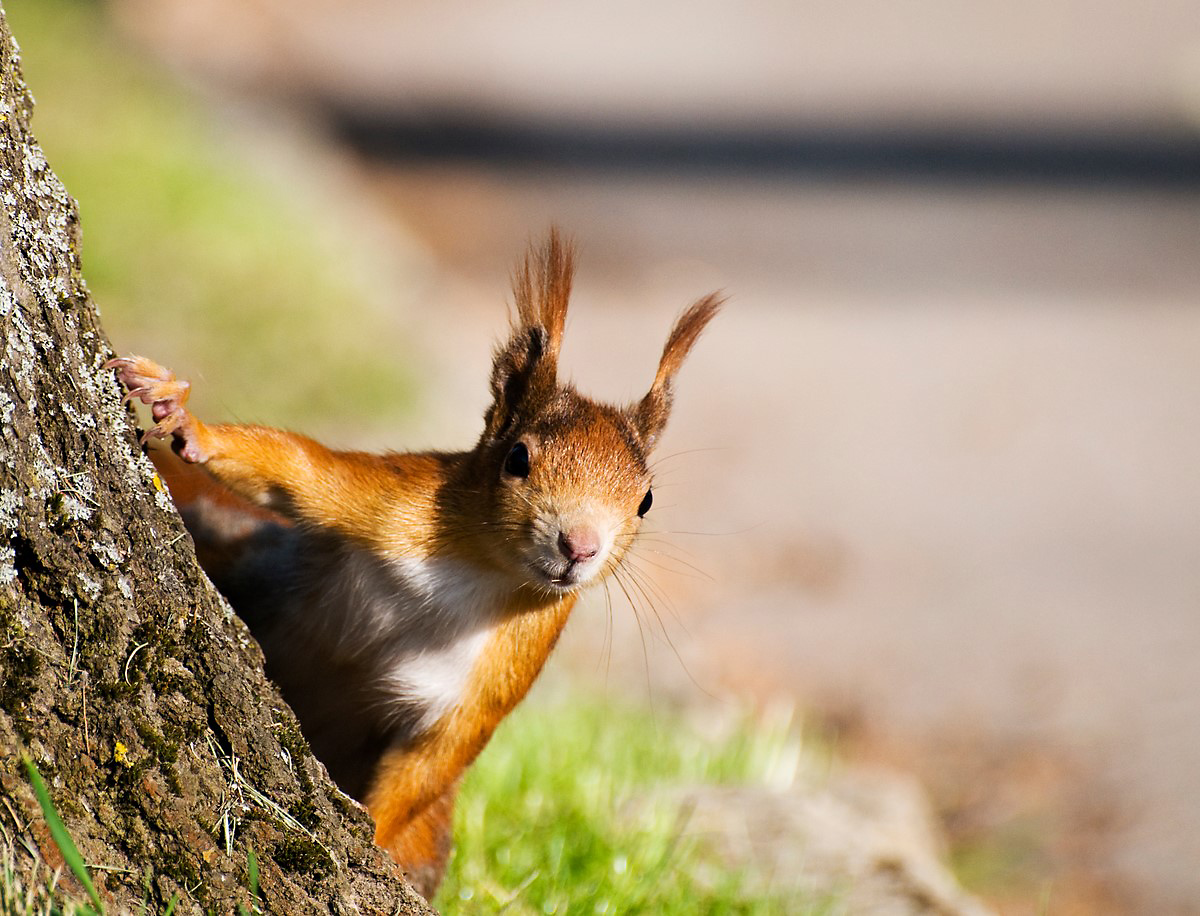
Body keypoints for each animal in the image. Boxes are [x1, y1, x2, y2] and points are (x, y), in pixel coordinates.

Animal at [105, 232, 720, 897]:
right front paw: (187, 421)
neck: (481, 574)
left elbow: (429, 765)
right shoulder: (393, 501)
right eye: (517, 458)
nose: (579, 547)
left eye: (646, 500)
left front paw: (370, 843)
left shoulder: (495, 678)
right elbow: (297, 470)